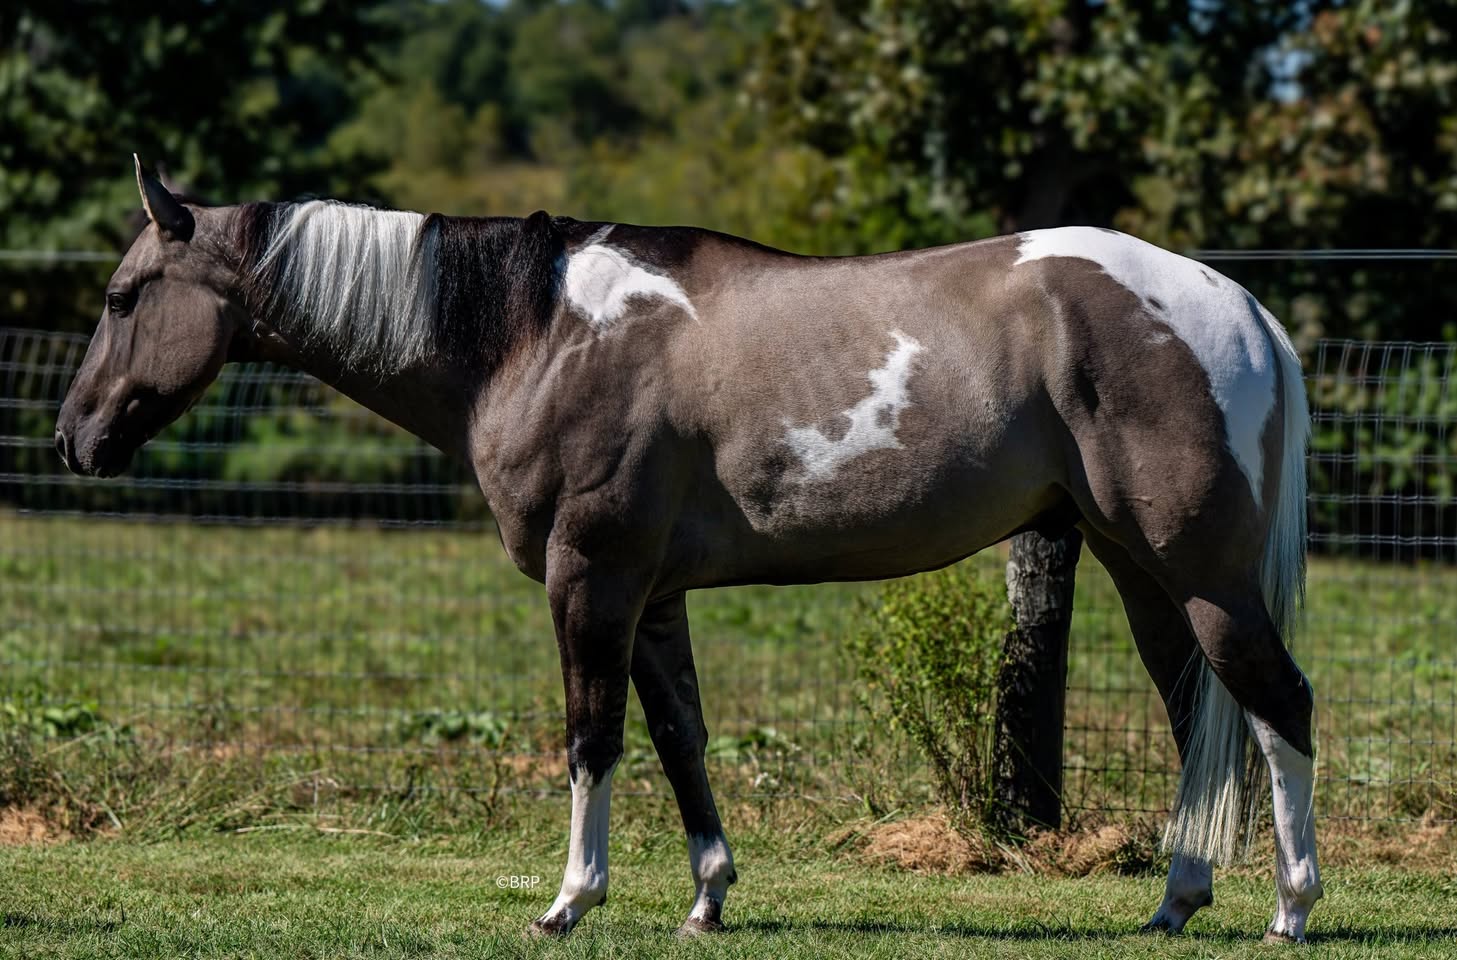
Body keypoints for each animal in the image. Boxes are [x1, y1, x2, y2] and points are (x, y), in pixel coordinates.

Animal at [55, 157, 1321, 943]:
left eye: (122, 298)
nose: (73, 436)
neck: (538, 335)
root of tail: (1233, 306)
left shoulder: (591, 579)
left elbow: (591, 739)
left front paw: (569, 900)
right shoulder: (654, 596)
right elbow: (680, 740)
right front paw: (707, 897)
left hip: (1199, 574)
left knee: (1277, 709)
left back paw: (1289, 908)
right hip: (1138, 571)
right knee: (1197, 718)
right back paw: (1177, 901)